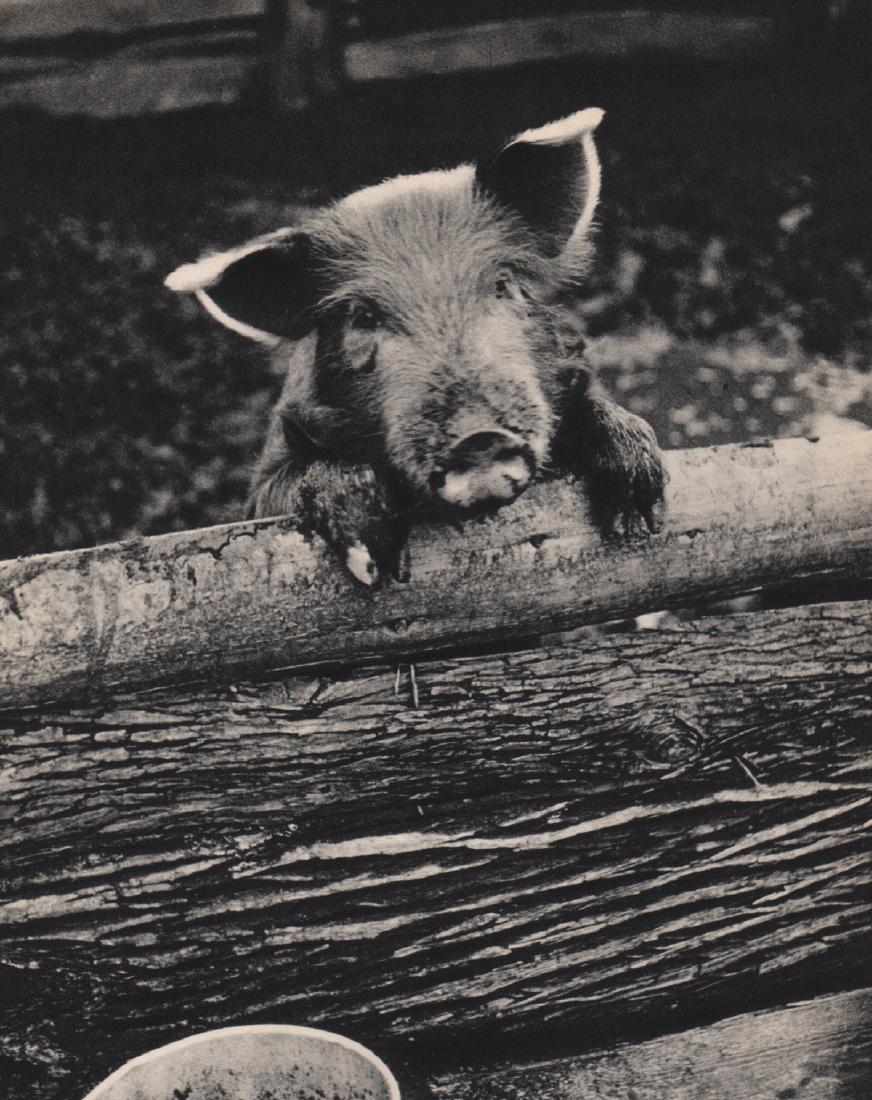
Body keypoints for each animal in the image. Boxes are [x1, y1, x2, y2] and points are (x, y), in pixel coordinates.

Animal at [166, 109, 665, 586]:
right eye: (363, 317)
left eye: (503, 285)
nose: (480, 437)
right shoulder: (268, 478)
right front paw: (376, 568)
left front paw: (642, 518)